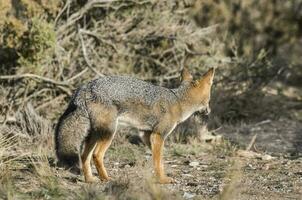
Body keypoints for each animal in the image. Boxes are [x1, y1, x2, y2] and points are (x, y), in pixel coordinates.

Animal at [54, 67, 215, 184]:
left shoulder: (146, 134)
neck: (178, 101)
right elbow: (158, 162)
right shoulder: (158, 135)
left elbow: (159, 160)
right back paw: (106, 178)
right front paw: (163, 180)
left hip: (95, 134)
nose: (209, 111)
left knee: (84, 156)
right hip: (109, 133)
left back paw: (90, 180)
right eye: (209, 100)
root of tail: (85, 87)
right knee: (96, 155)